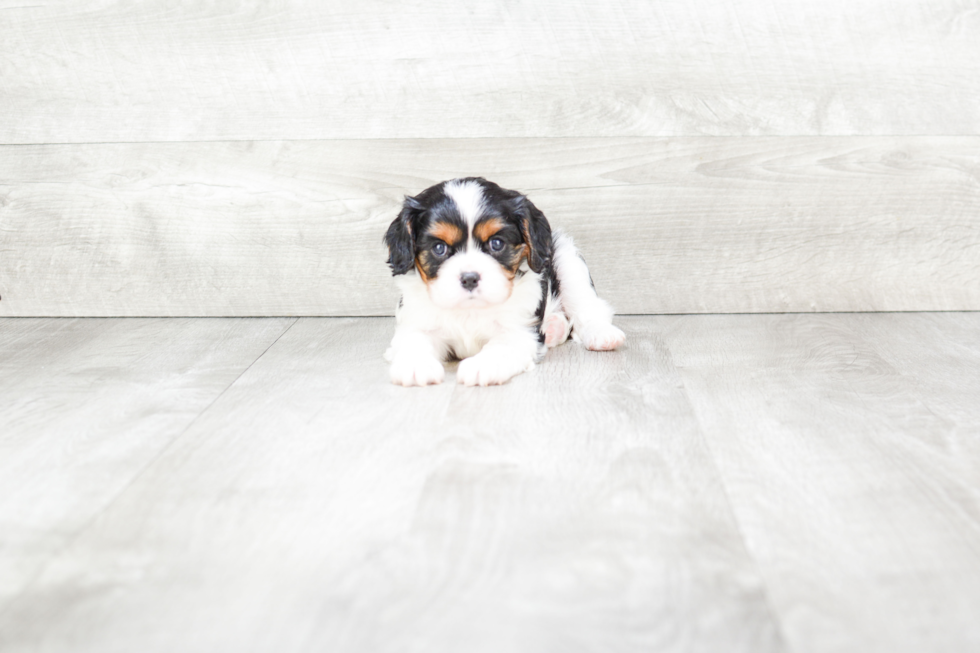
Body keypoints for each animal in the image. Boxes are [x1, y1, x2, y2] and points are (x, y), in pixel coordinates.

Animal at [378, 176, 624, 384]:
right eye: (439, 248)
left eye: (496, 244)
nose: (470, 278)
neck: (470, 309)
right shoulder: (418, 321)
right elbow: (414, 340)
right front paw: (415, 366)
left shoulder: (518, 331)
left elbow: (501, 347)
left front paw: (482, 366)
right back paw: (555, 327)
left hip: (567, 258)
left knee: (589, 307)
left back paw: (601, 334)